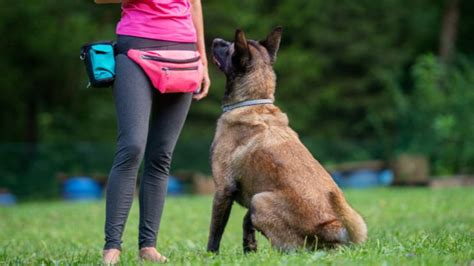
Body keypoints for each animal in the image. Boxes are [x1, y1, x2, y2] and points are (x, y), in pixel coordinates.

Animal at [207, 27, 366, 254]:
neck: (253, 103)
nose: (216, 39)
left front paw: (210, 256)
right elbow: (247, 222)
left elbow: (215, 231)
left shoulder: (223, 189)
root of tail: (331, 226)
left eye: (229, 48)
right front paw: (249, 248)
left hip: (259, 200)